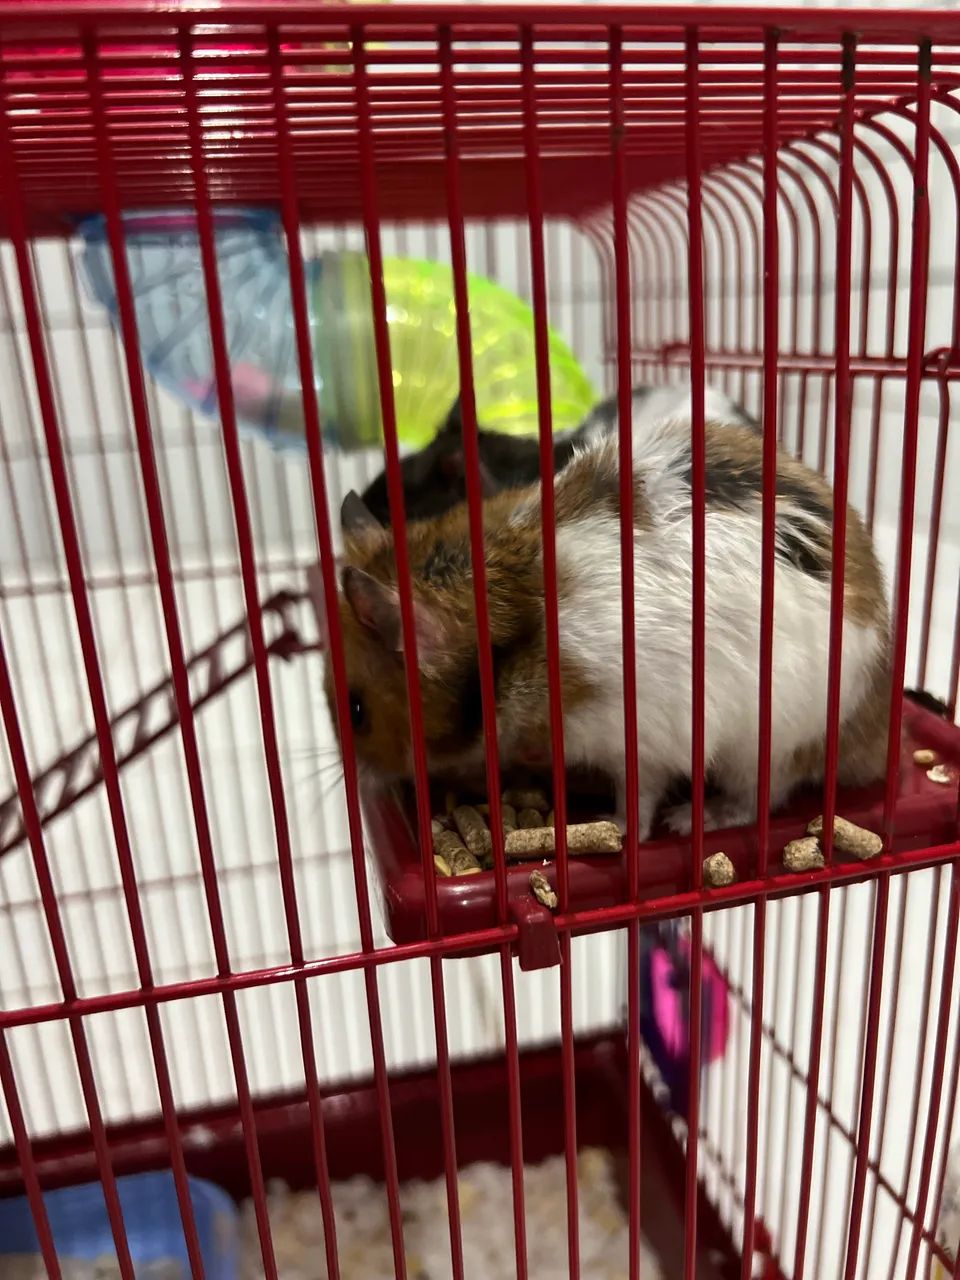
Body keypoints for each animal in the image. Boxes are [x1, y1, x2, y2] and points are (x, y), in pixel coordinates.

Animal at [327, 414, 889, 840]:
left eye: (357, 711)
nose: (362, 784)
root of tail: (874, 729)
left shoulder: (634, 738)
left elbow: (636, 800)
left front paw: (611, 826)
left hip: (769, 741)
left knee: (759, 799)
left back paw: (692, 819)